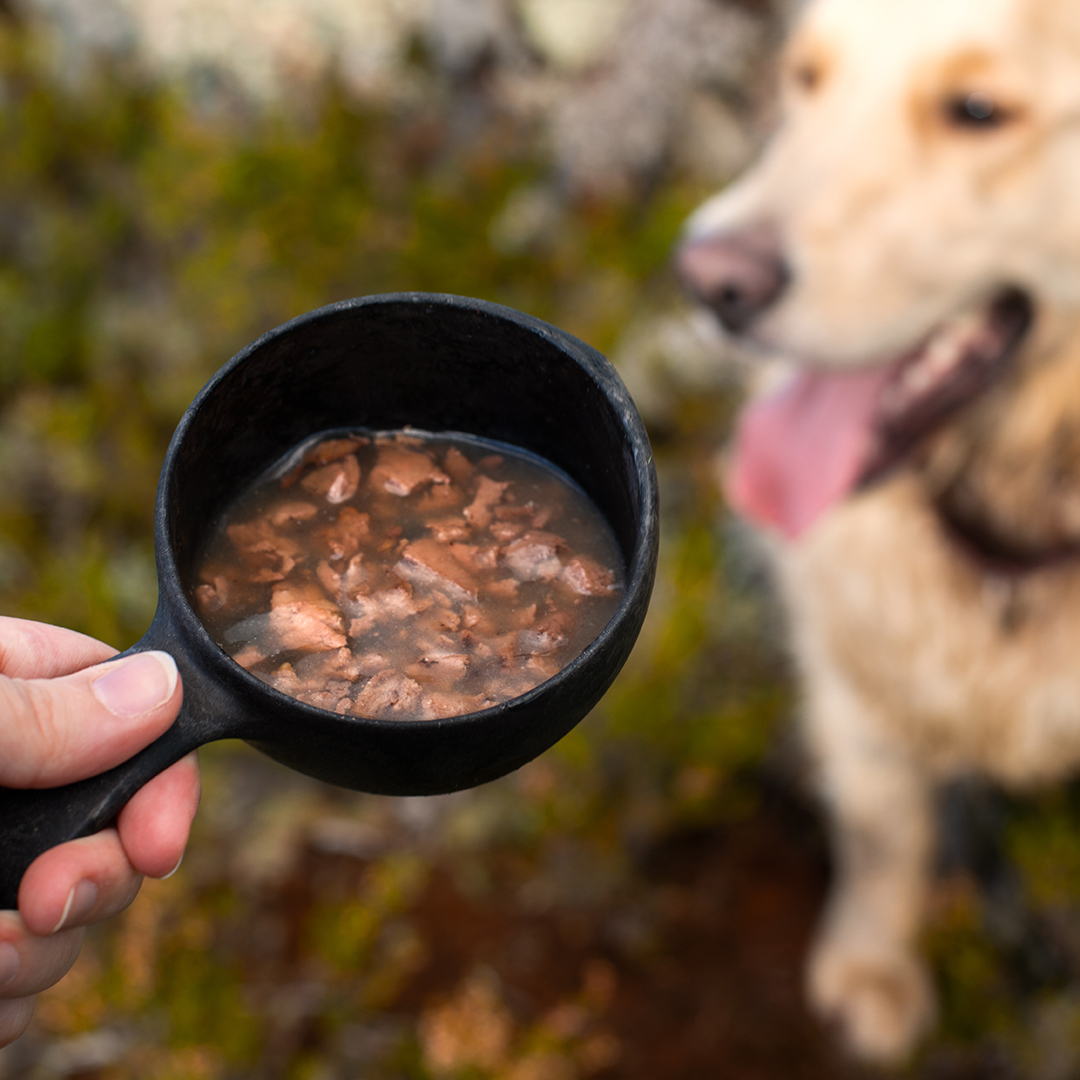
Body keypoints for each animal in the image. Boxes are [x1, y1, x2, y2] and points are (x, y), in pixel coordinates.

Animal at [678, 0, 1080, 1062]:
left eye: (978, 109)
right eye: (806, 77)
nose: (707, 279)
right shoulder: (854, 684)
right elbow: (883, 836)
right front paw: (870, 967)